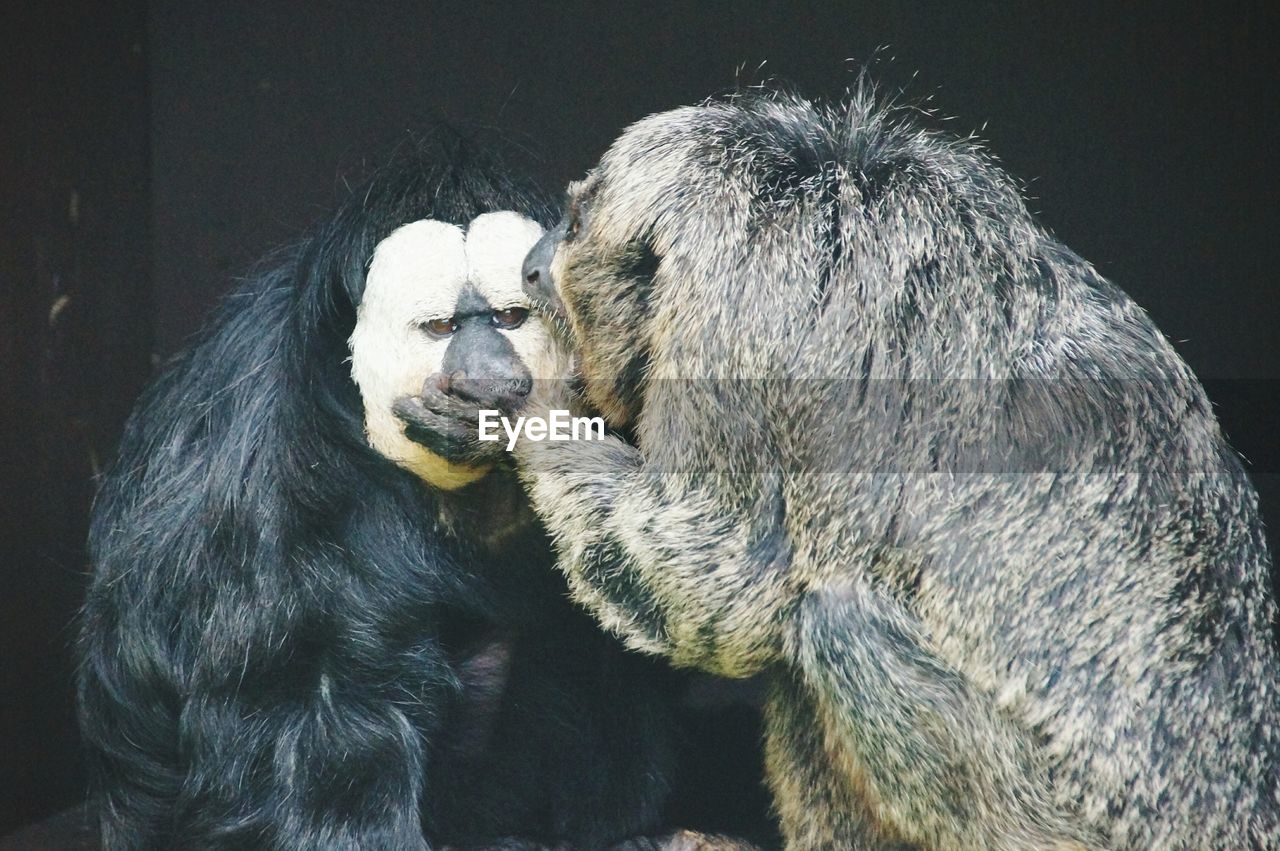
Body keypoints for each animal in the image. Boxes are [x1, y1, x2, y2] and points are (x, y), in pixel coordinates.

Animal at [491, 94, 1280, 849]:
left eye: (571, 224)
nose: (530, 264)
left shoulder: (738, 315)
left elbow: (727, 582)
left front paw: (538, 408)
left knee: (832, 624)